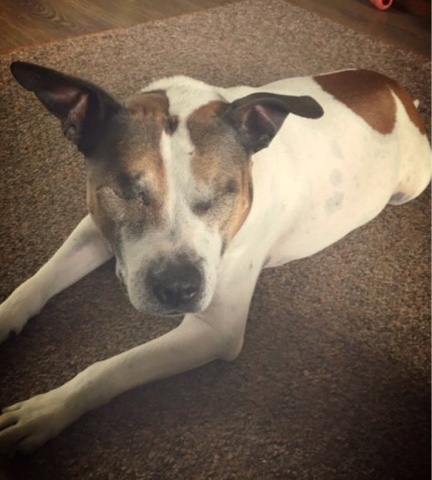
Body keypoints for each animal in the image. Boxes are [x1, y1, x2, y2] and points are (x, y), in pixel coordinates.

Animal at [0, 62, 430, 454]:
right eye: (127, 192)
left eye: (224, 192)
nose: (178, 288)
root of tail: (397, 90)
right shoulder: (95, 226)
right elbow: (36, 282)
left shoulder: (213, 332)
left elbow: (112, 367)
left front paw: (47, 409)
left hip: (412, 185)